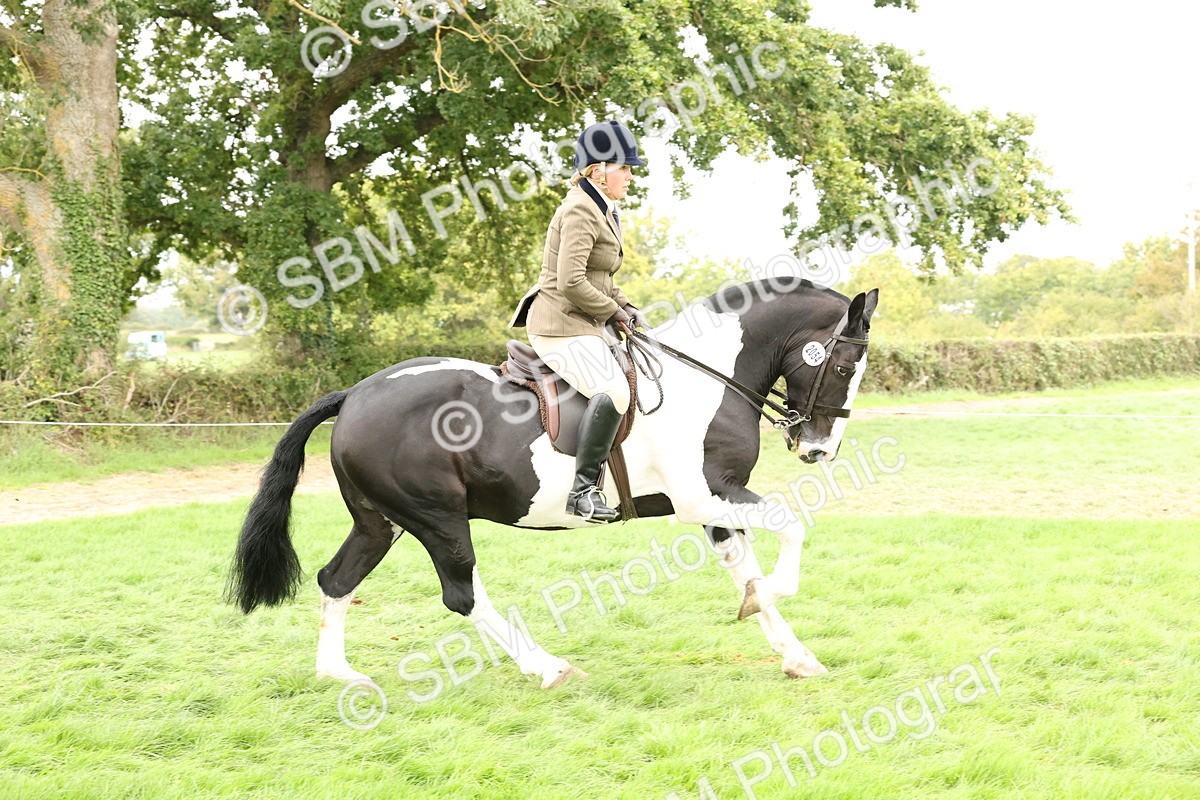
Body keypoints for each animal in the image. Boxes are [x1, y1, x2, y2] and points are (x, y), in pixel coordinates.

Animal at [227, 279, 878, 688]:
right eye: (845, 365)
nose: (818, 449)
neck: (708, 379)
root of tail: (355, 395)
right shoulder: (704, 495)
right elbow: (792, 530)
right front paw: (771, 597)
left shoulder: (716, 503)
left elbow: (746, 571)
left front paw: (793, 653)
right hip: (436, 520)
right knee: (462, 595)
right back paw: (548, 667)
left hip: (380, 521)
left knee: (337, 579)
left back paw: (337, 673)